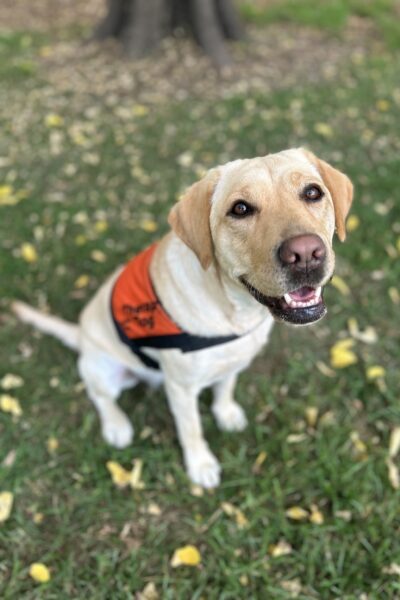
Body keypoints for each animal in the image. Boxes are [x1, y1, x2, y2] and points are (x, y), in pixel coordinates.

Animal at [11, 149, 354, 488]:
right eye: (240, 209)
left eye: (313, 192)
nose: (306, 254)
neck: (234, 310)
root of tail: (80, 334)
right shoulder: (181, 388)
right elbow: (191, 429)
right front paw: (200, 465)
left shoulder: (234, 361)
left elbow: (225, 388)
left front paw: (226, 413)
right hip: (102, 368)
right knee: (100, 396)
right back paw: (116, 425)